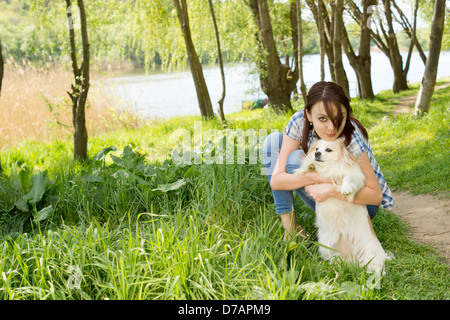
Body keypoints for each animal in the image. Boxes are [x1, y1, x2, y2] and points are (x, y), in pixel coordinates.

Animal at [294, 139, 388, 274]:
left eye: (328, 150)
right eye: (316, 149)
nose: (317, 154)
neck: (329, 167)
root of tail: (354, 261)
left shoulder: (355, 177)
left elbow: (347, 178)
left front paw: (345, 189)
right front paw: (310, 166)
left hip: (371, 254)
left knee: (377, 269)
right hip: (331, 251)